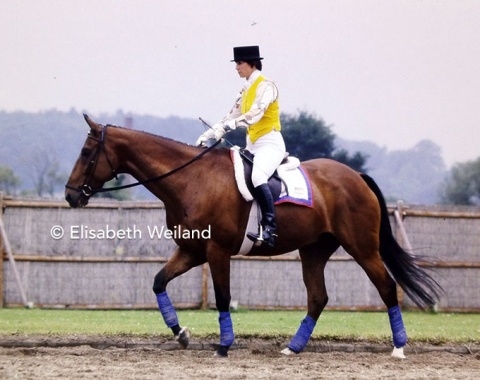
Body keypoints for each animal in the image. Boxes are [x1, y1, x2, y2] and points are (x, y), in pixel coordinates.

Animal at [65, 114, 440, 358]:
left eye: (86, 152)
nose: (70, 195)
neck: (190, 180)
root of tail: (356, 176)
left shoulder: (216, 252)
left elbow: (222, 297)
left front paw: (224, 345)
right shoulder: (191, 252)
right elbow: (159, 282)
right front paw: (181, 333)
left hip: (362, 248)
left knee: (386, 286)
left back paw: (398, 347)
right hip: (314, 251)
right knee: (318, 298)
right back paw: (293, 348)